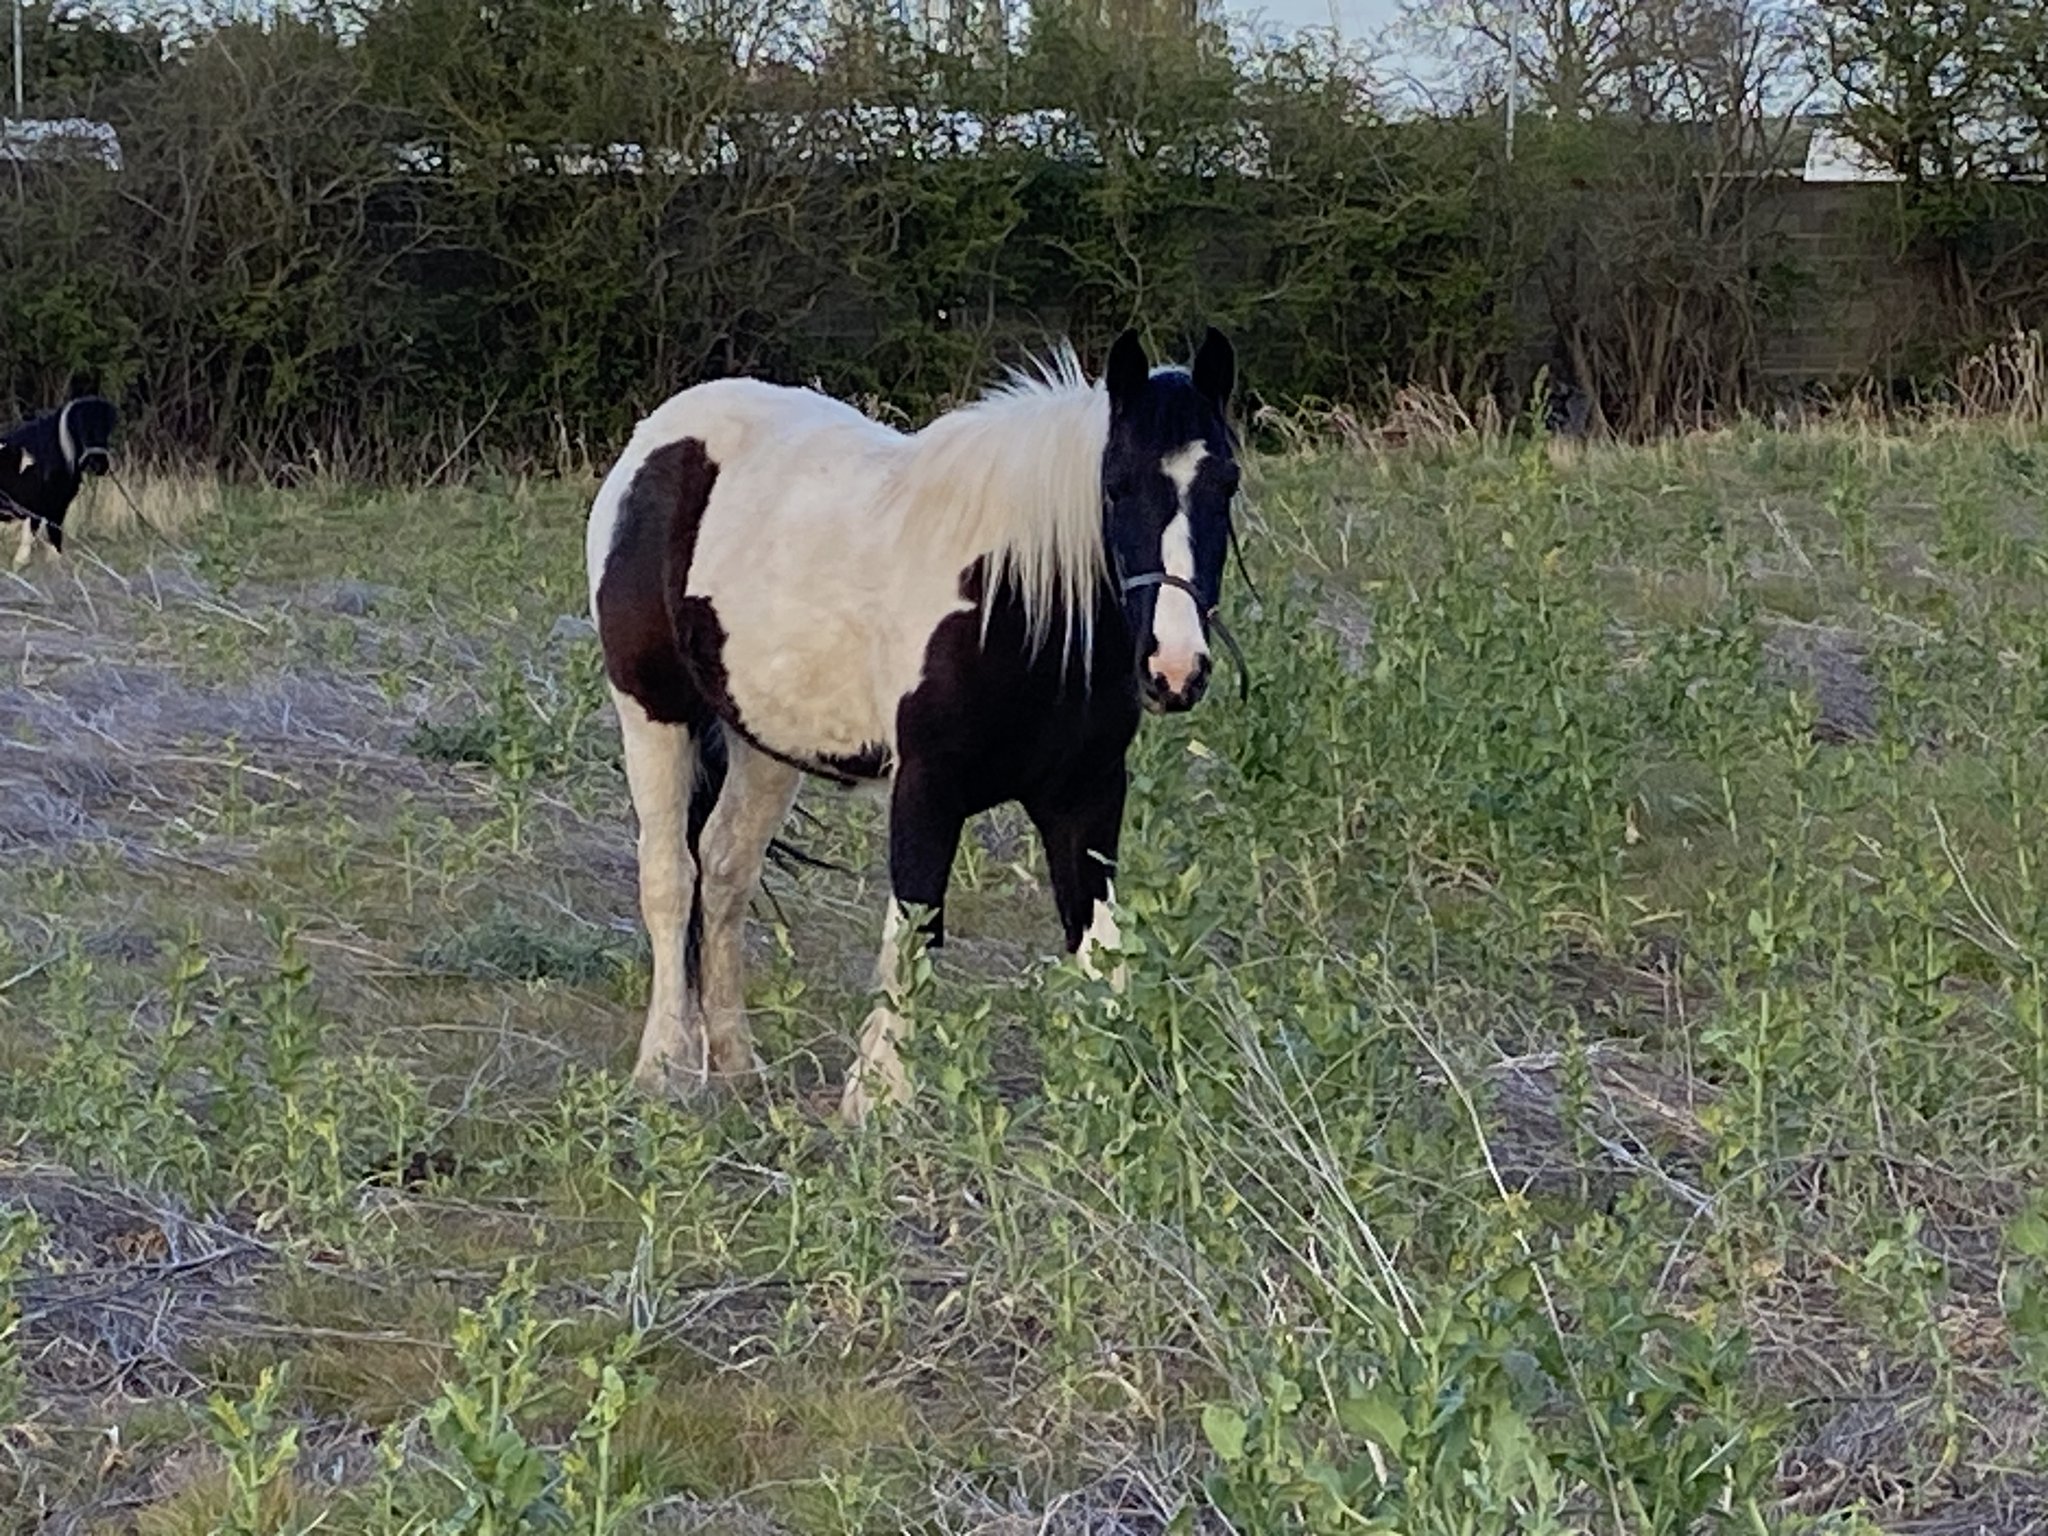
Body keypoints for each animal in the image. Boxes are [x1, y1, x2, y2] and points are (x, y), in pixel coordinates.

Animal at [586, 328, 1242, 1122]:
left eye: (1227, 483)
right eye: (1115, 484)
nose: (1175, 669)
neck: (1016, 607)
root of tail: (657, 440)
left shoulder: (1086, 796)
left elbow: (1101, 943)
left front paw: (1110, 1091)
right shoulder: (928, 789)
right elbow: (913, 932)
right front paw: (878, 1098)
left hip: (762, 742)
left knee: (724, 872)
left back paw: (739, 1064)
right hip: (653, 713)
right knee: (669, 878)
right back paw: (666, 1066)